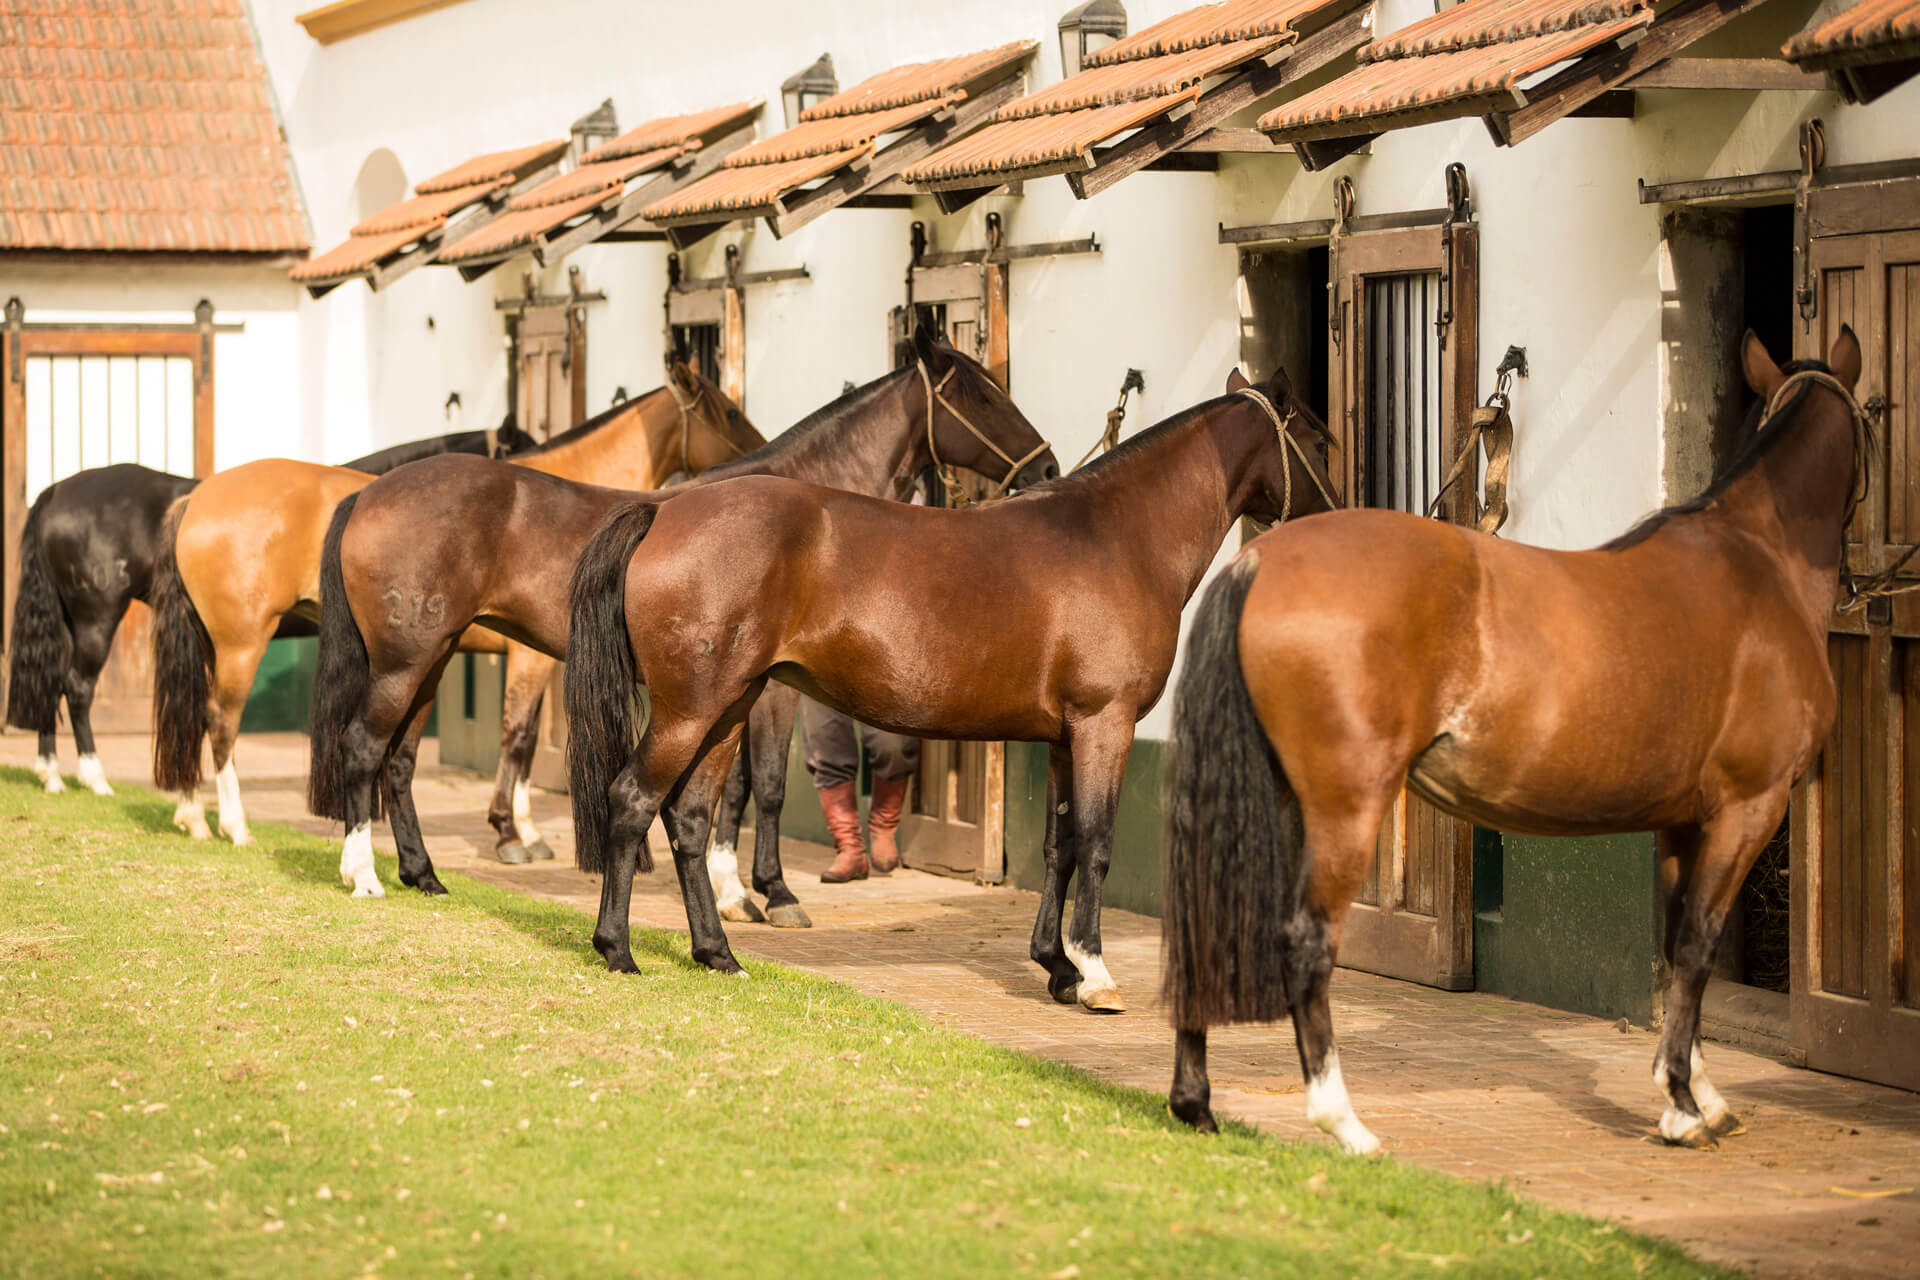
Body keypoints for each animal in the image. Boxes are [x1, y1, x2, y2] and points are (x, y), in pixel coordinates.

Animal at [5, 424, 533, 795]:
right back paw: (94, 778)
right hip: (97, 618)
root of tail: (56, 491)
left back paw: (51, 774)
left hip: (70, 618)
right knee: (77, 688)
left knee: (50, 681)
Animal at [150, 364, 757, 846]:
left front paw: (519, 825)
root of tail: (197, 497)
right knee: (220, 723)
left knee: (194, 716)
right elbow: (519, 735)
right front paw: (513, 831)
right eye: (729, 412)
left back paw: (193, 816)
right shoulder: (531, 658)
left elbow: (522, 739)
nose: (756, 449)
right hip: (244, 644)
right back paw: (234, 825)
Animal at [305, 326, 1056, 901]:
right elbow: (765, 785)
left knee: (399, 762)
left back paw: (422, 874)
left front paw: (730, 886)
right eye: (981, 396)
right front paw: (768, 892)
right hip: (406, 664)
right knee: (364, 748)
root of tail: (367, 495)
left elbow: (734, 788)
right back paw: (365, 875)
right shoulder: (767, 692)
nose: (1046, 468)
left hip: (428, 661)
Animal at [560, 366, 1337, 1007]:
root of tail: (664, 511)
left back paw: (717, 954)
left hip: (729, 710)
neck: (1115, 538)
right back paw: (618, 951)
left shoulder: (1065, 738)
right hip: (692, 712)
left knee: (689, 818)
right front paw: (1094, 973)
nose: (1337, 517)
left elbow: (1060, 849)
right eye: (1320, 440)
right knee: (631, 801)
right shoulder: (1103, 725)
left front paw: (1056, 966)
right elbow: (1097, 843)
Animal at [1160, 329, 1864, 1155]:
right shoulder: (1748, 809)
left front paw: (1698, 1092)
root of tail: (1258, 563)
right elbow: (1696, 946)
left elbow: (1677, 954)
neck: (1758, 561)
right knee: (1306, 940)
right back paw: (1346, 1123)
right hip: (1344, 809)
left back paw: (1195, 1102)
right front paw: (1686, 1110)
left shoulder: (1683, 823)